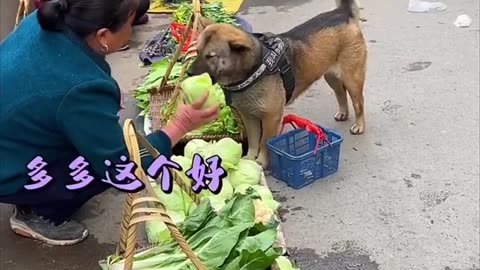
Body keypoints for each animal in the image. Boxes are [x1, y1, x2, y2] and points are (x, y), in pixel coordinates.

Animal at [188, 0, 368, 169]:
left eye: (211, 56)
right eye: (197, 51)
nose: (189, 72)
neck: (254, 69)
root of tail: (342, 13)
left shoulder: (271, 117)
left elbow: (263, 142)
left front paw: (261, 161)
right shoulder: (249, 117)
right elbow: (253, 141)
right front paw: (250, 159)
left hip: (352, 78)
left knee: (358, 103)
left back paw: (359, 125)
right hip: (331, 76)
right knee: (340, 93)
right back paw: (343, 113)